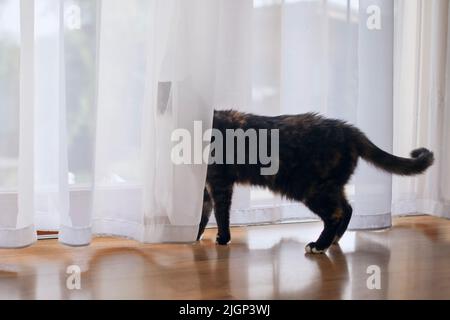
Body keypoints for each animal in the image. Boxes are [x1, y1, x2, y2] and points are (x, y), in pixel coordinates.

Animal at [197, 110, 432, 255]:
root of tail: (349, 130)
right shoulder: (205, 188)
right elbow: (202, 214)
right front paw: (195, 236)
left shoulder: (219, 182)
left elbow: (220, 212)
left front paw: (223, 238)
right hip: (330, 186)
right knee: (347, 208)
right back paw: (334, 240)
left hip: (310, 188)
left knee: (335, 213)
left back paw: (319, 245)